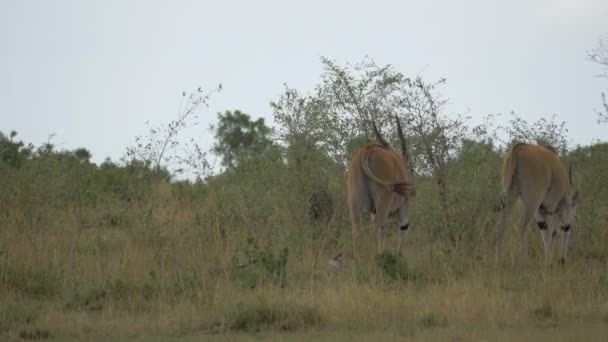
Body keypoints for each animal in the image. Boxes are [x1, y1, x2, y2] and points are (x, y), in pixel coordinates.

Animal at [346, 116, 414, 258]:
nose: (413, 191)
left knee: (357, 231)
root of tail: (368, 150)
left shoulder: (373, 211)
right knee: (374, 230)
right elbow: (403, 228)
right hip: (383, 204)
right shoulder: (404, 206)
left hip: (355, 204)